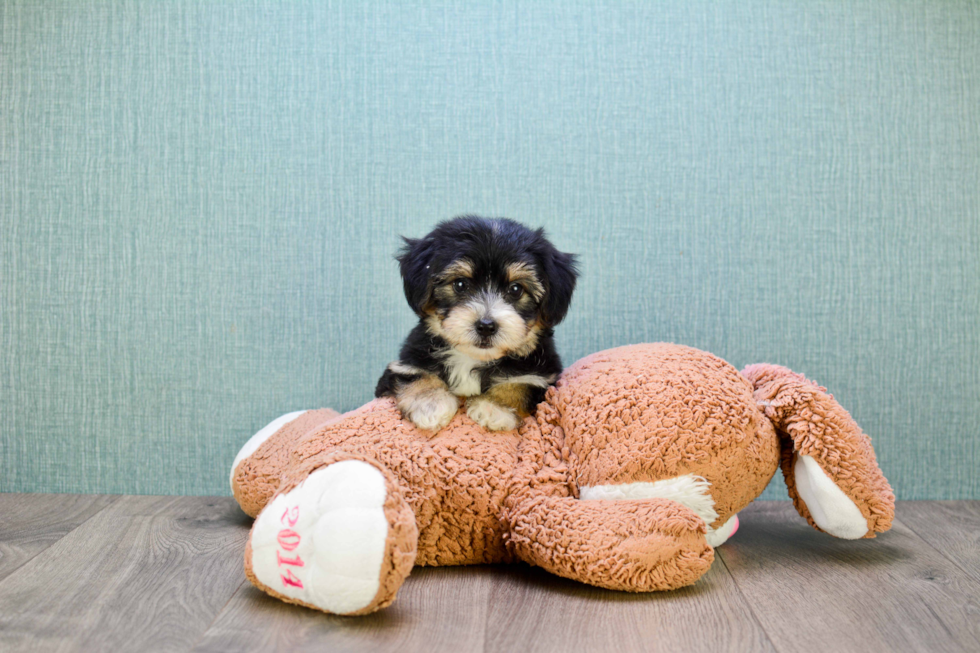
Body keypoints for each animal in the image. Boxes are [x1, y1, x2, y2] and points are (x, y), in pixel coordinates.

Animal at [374, 216, 576, 432]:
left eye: (516, 289)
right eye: (460, 284)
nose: (486, 326)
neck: (471, 358)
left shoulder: (545, 377)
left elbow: (523, 384)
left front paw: (493, 407)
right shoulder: (407, 361)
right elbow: (414, 373)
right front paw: (429, 402)